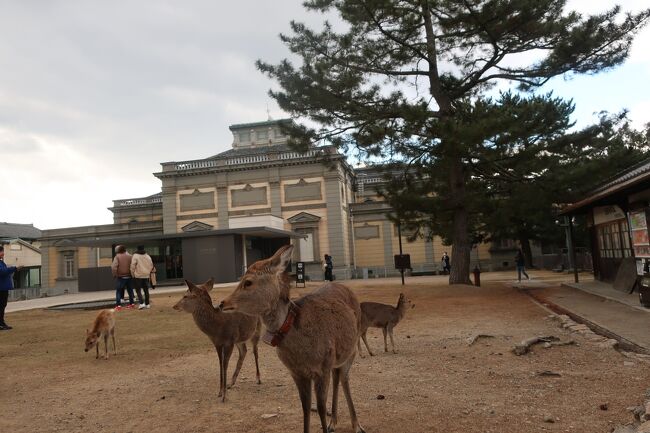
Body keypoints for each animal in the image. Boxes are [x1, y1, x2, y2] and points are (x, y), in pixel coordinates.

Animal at [220, 245, 364, 432]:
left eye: (248, 282)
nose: (222, 303)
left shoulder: (322, 368)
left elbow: (320, 408)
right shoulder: (296, 372)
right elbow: (305, 407)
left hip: (352, 349)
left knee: (344, 378)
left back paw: (357, 425)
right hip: (336, 358)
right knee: (337, 376)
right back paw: (334, 422)